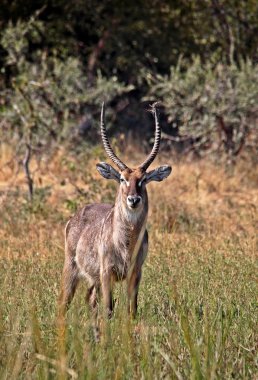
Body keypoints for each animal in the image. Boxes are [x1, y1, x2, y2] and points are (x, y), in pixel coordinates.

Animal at [58, 102, 171, 320]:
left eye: (144, 179)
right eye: (122, 178)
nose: (133, 199)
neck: (125, 243)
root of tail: (75, 216)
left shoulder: (136, 272)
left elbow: (132, 309)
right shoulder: (106, 272)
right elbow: (109, 309)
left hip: (93, 279)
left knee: (90, 299)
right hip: (71, 268)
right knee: (64, 302)